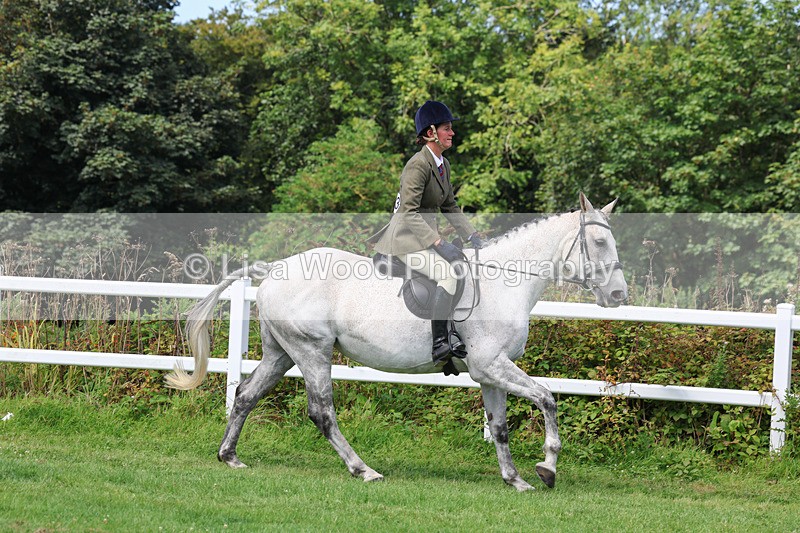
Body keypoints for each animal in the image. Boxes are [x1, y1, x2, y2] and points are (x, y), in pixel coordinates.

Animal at [166, 193, 628, 491]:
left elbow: (499, 427)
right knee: (322, 412)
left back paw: (229, 456)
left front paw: (514, 479)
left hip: (283, 353)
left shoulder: (490, 373)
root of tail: (276, 268)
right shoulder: (491, 365)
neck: (504, 283)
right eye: (599, 242)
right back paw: (363, 470)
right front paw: (547, 467)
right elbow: (547, 398)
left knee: (246, 394)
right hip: (312, 351)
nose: (619, 295)